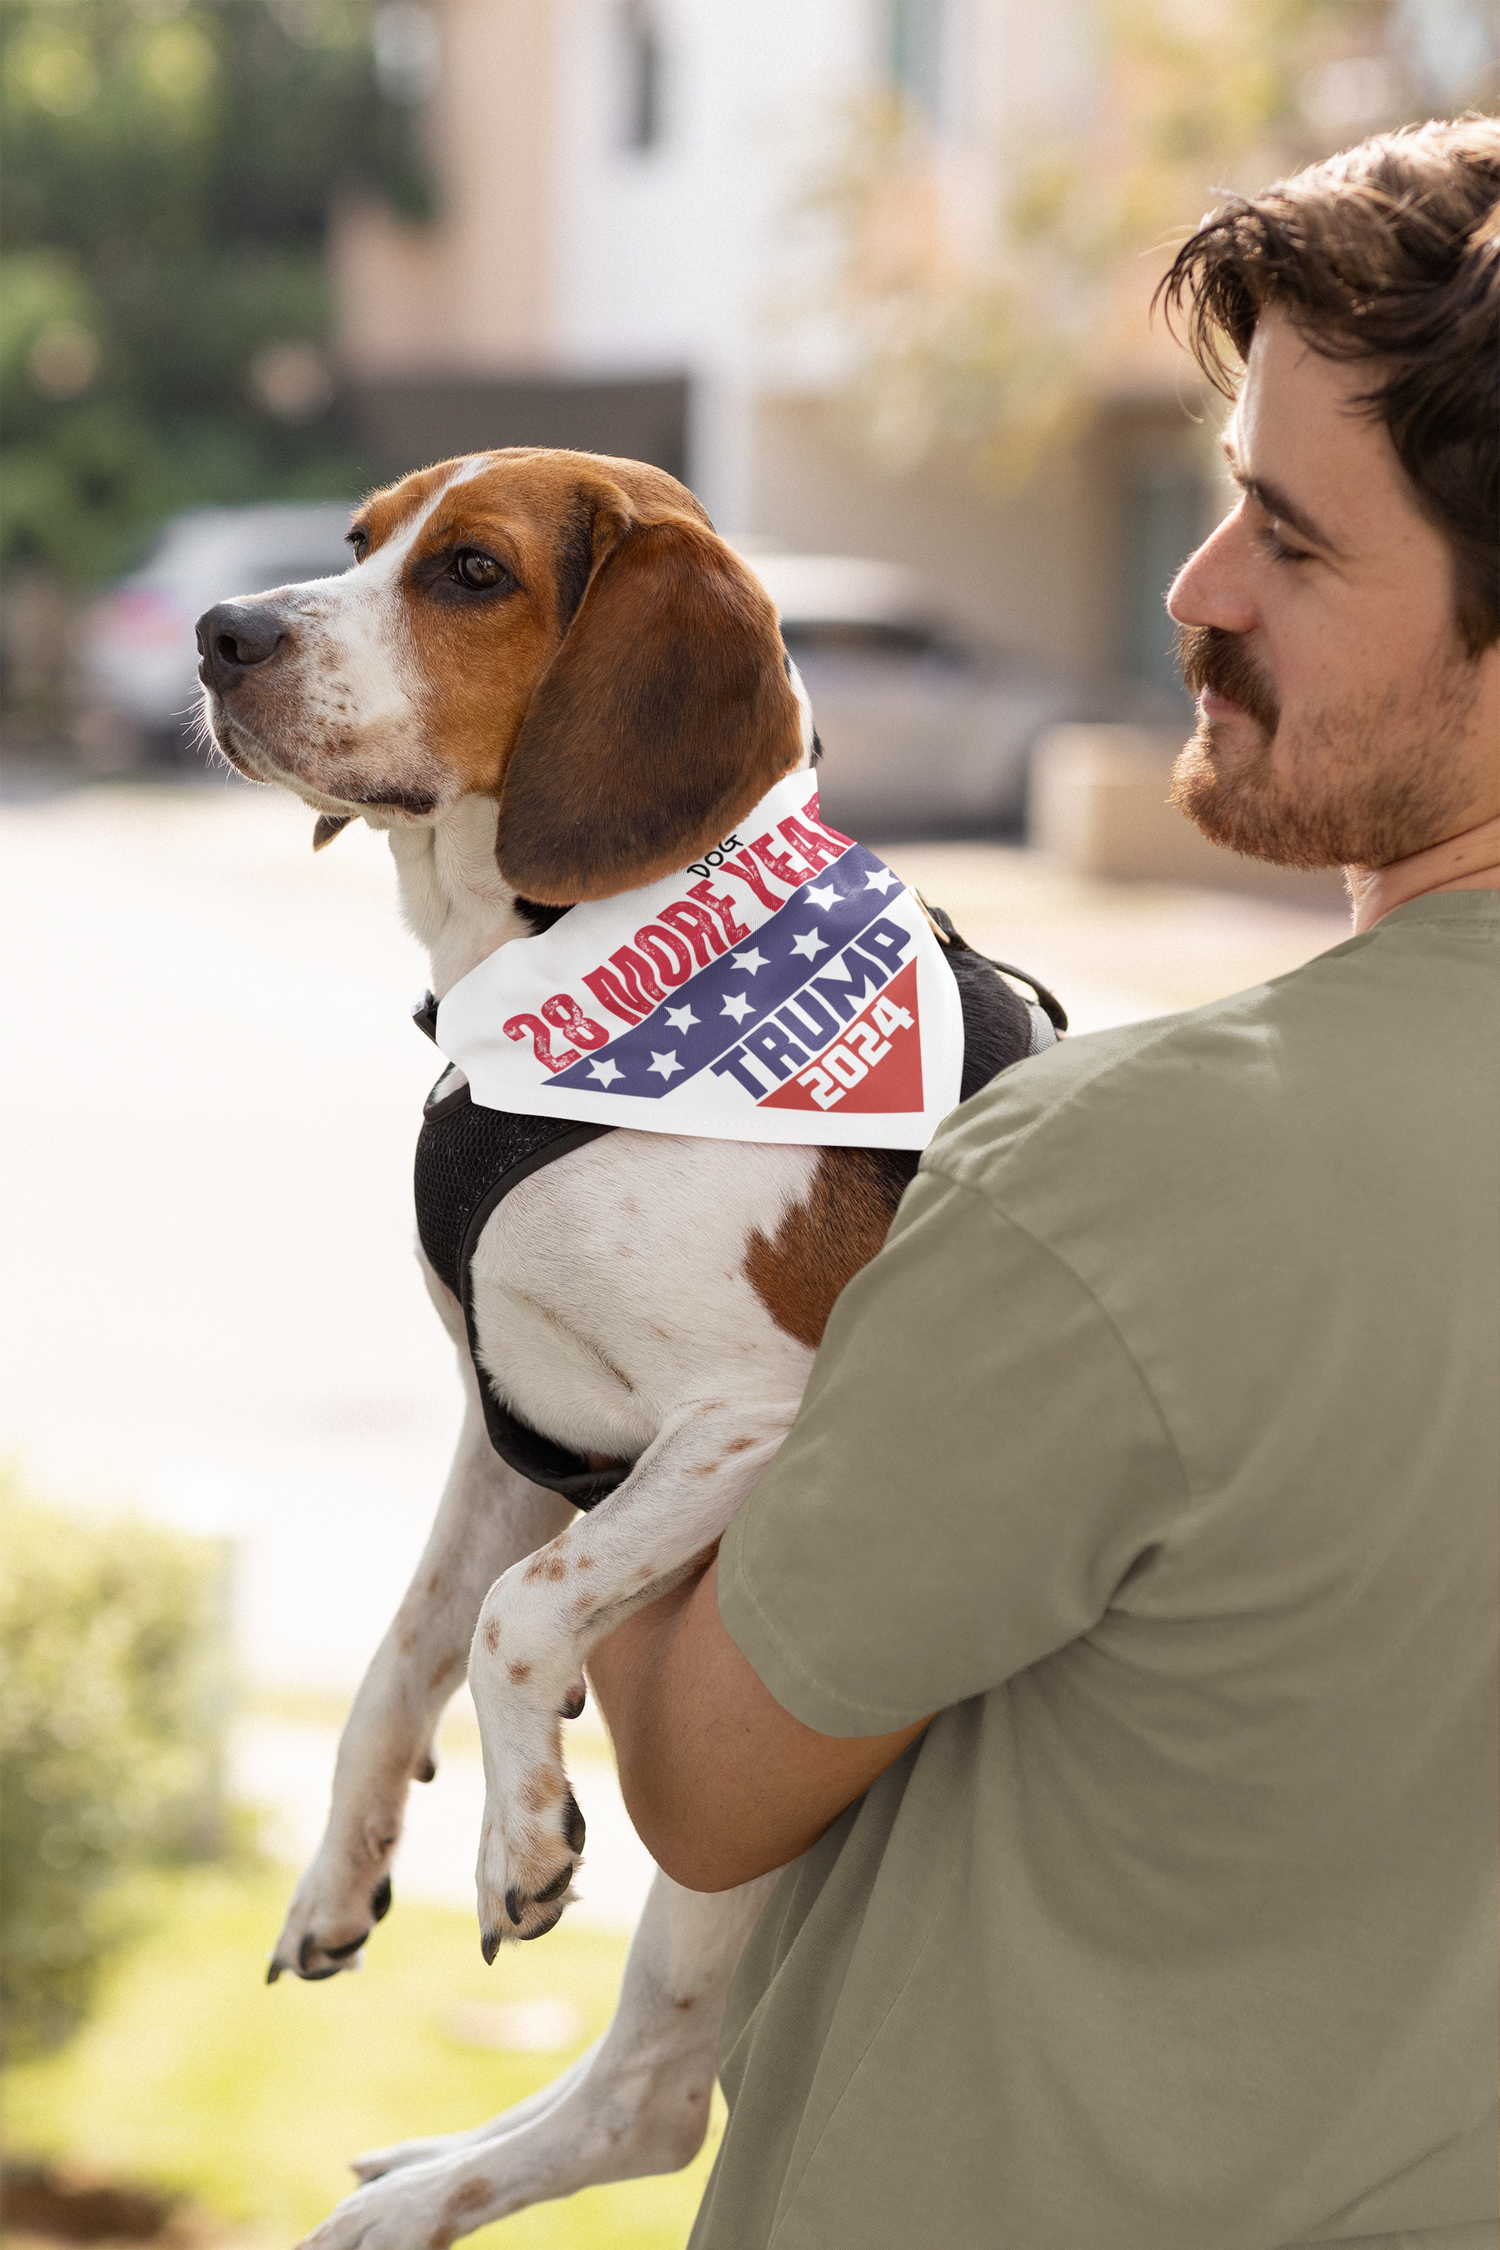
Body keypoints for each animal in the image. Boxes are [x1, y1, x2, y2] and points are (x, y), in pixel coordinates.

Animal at [196, 443, 1043, 2250]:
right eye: (359, 541)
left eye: (472, 573)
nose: (223, 632)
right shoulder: (509, 1423)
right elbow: (407, 1645)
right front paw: (343, 1865)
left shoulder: (760, 1422)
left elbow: (515, 1616)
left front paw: (515, 1834)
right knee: (645, 2094)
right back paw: (415, 2181)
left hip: (739, 1832)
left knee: (656, 2102)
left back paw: (410, 2202)